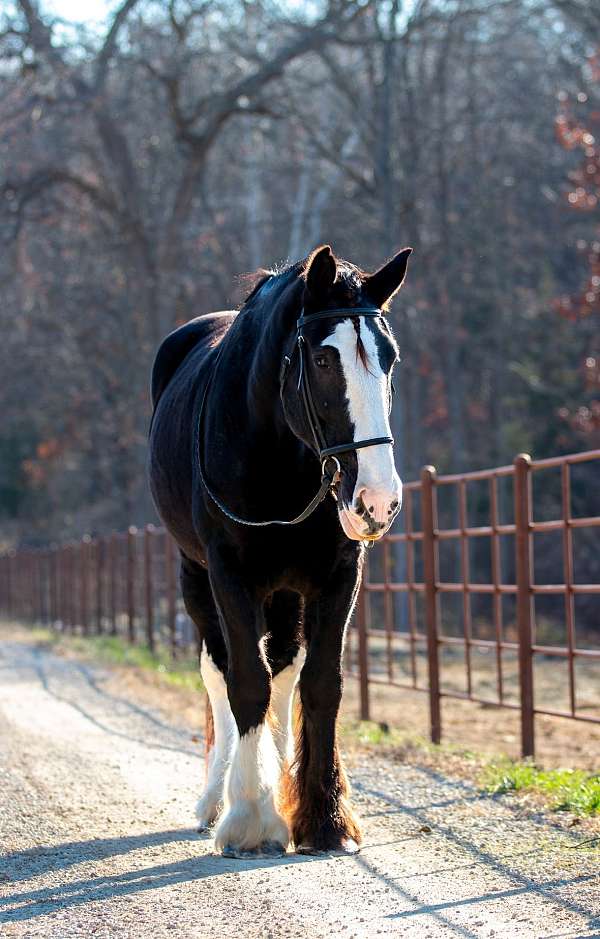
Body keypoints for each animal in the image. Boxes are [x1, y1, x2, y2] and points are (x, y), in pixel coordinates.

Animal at [150, 244, 412, 860]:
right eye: (321, 360)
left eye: (389, 359)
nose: (378, 500)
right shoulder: (230, 574)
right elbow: (246, 680)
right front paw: (251, 817)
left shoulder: (339, 574)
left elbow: (319, 685)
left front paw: (323, 817)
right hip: (196, 579)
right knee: (220, 671)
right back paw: (216, 798)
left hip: (288, 591)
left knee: (286, 671)